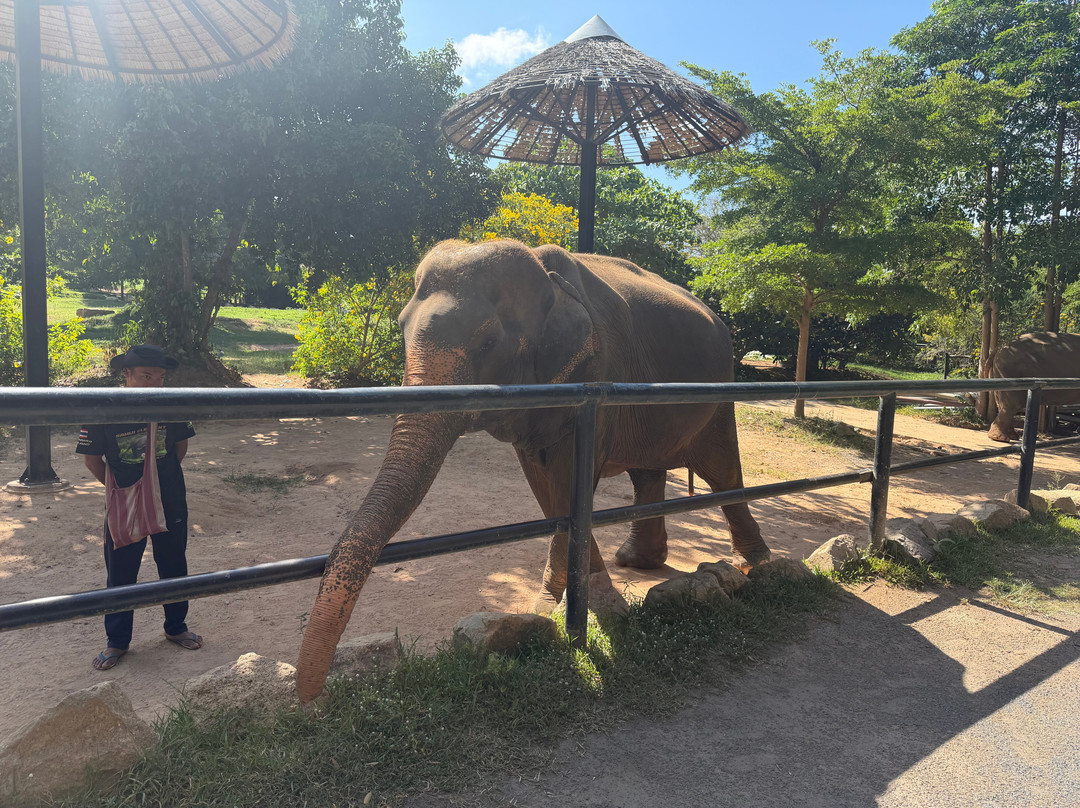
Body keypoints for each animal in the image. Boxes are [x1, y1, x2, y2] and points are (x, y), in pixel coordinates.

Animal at [295, 239, 771, 702]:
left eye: (488, 343)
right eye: (401, 330)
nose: (313, 699)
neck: (545, 275)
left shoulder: (598, 374)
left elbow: (568, 480)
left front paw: (563, 604)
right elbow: (547, 489)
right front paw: (571, 595)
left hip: (718, 393)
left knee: (722, 470)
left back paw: (754, 562)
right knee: (647, 473)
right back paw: (636, 561)